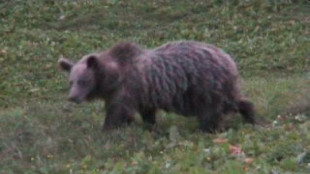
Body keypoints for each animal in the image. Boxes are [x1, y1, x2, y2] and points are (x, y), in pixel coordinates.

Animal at [58, 40, 254, 133]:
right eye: (71, 81)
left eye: (83, 81)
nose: (72, 97)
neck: (112, 79)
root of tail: (228, 59)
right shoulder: (143, 94)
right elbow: (147, 114)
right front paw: (149, 127)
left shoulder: (128, 88)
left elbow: (118, 112)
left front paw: (107, 130)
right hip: (218, 87)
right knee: (234, 101)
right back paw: (252, 117)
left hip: (204, 85)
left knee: (211, 111)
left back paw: (205, 129)